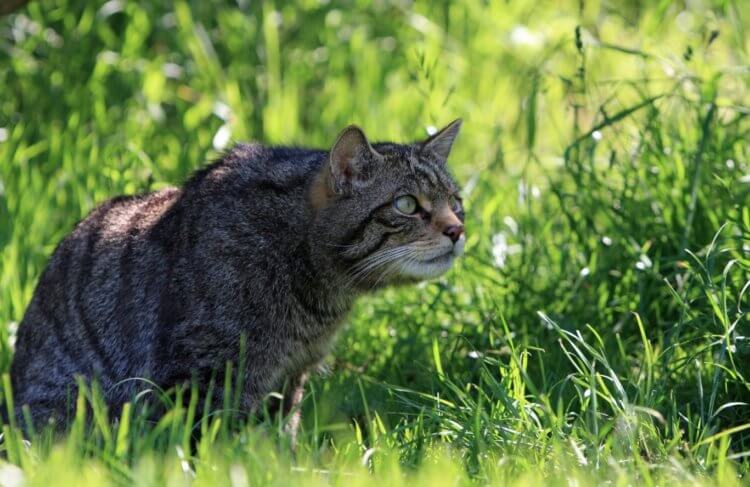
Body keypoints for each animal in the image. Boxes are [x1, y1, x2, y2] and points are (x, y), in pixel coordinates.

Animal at [8, 120, 468, 440]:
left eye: (456, 201)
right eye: (406, 204)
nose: (457, 230)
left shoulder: (290, 376)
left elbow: (278, 440)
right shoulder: (204, 375)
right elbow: (206, 448)